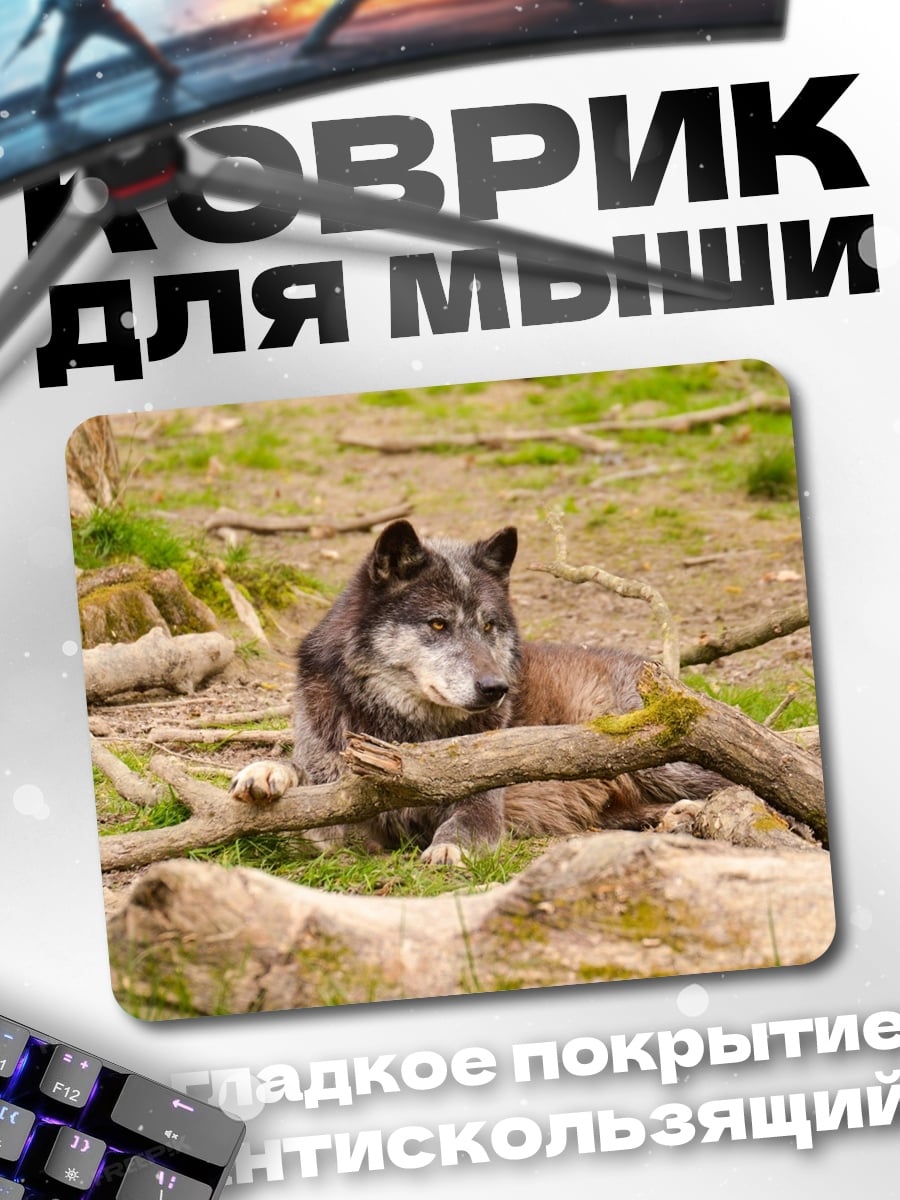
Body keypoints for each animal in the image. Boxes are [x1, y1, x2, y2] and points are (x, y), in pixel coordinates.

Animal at [229, 519, 725, 863]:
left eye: (489, 626)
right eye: (438, 624)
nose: (496, 688)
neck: (403, 732)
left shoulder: (482, 801)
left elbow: (466, 822)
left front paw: (449, 849)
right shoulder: (336, 789)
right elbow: (300, 777)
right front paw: (265, 772)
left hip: (664, 760)